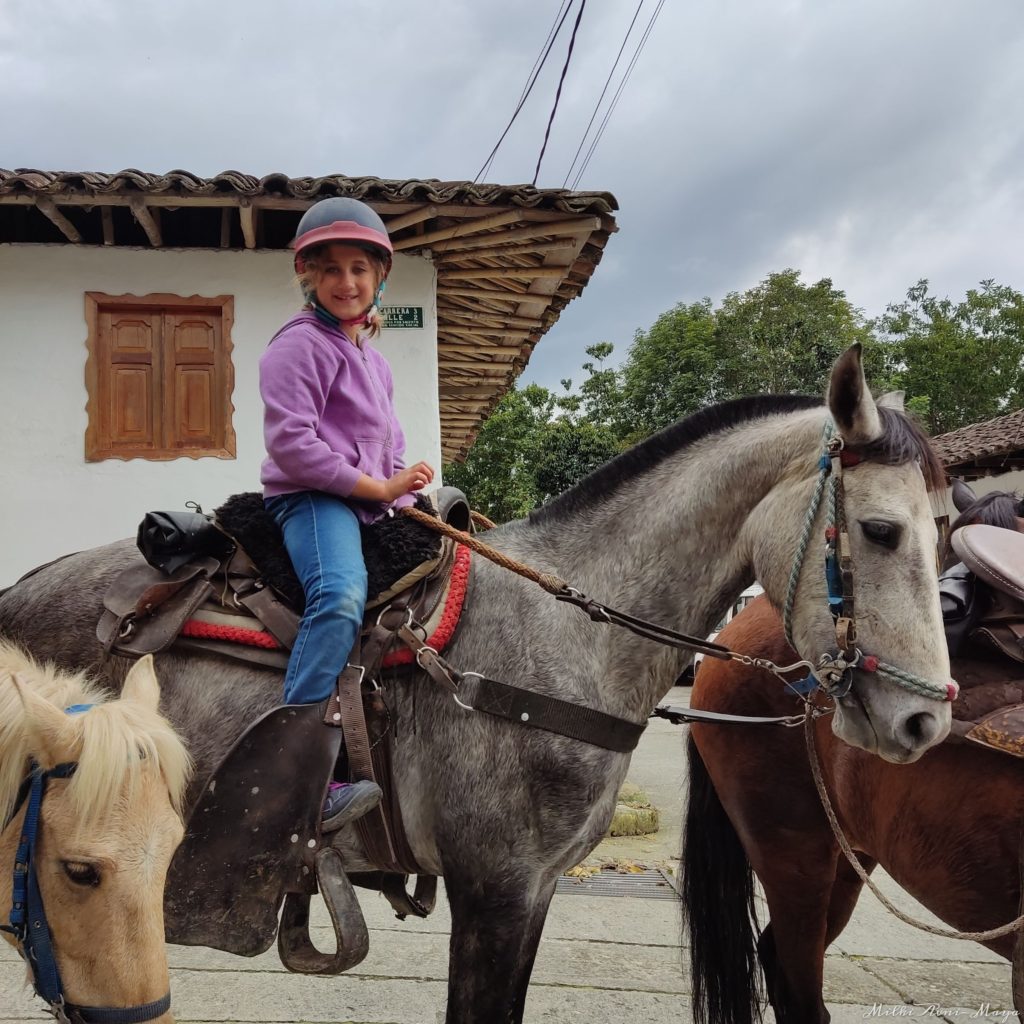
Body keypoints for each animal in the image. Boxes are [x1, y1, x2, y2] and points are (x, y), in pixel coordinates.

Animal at [0, 348, 950, 1019]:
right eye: (880, 530)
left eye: (942, 531)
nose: (924, 724)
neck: (563, 640)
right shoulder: (494, 889)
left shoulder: (532, 893)